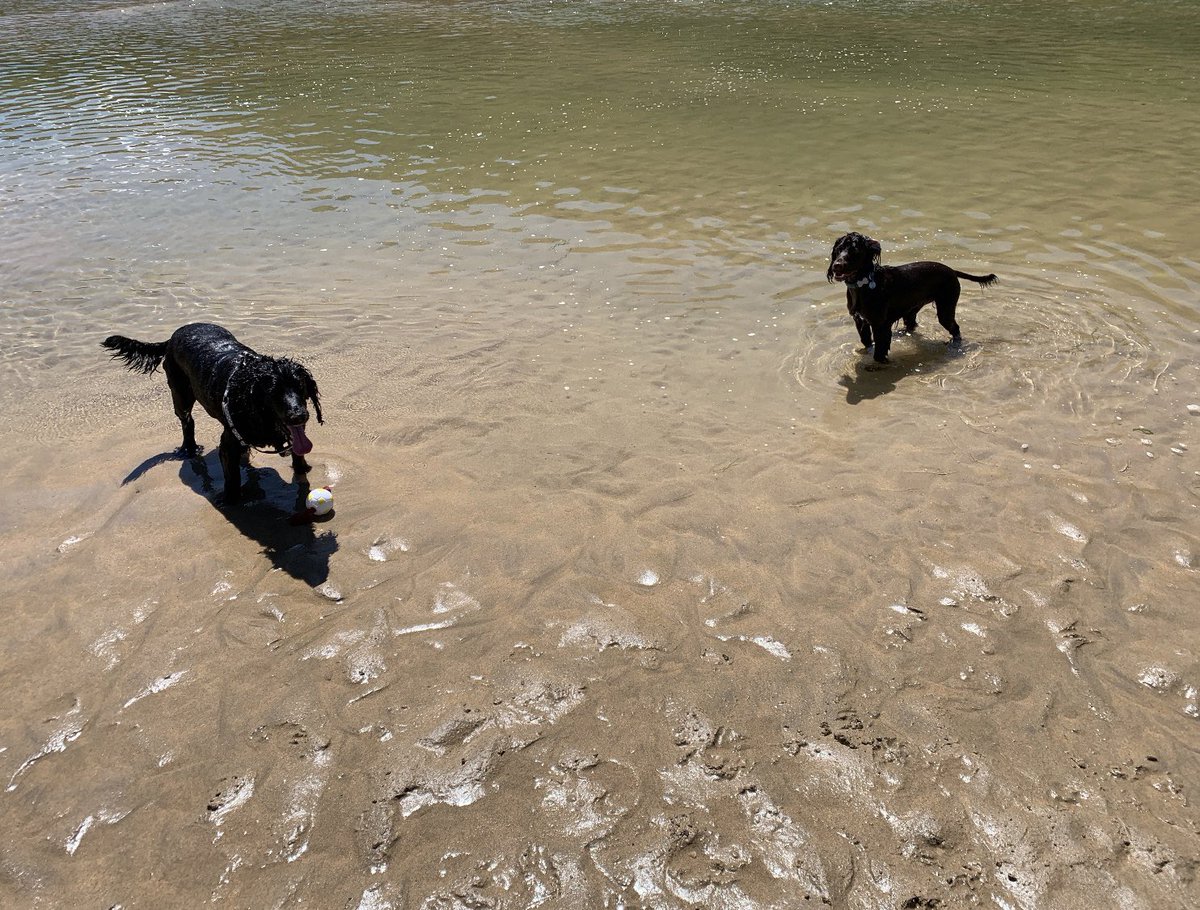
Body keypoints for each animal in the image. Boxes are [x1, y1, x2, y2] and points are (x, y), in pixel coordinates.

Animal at [102, 321, 324, 506]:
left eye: (301, 387)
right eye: (273, 392)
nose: (299, 416)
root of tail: (174, 335)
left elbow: (298, 451)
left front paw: (302, 469)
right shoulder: (228, 444)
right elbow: (232, 477)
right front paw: (231, 500)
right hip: (181, 395)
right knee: (187, 422)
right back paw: (189, 448)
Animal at [825, 232, 993, 364]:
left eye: (855, 251)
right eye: (838, 250)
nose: (837, 265)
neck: (863, 284)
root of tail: (952, 270)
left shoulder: (880, 325)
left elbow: (879, 351)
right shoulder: (860, 320)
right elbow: (867, 342)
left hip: (946, 308)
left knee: (955, 328)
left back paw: (954, 344)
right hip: (911, 310)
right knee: (912, 325)